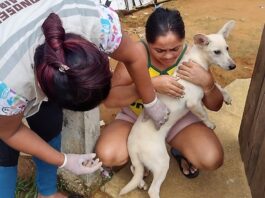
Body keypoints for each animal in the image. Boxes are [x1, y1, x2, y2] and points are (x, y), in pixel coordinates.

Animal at [119, 20, 235, 198]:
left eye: (227, 48)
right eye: (216, 52)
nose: (233, 66)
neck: (197, 60)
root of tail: (133, 146)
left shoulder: (203, 82)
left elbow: (215, 85)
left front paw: (227, 96)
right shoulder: (194, 103)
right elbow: (204, 113)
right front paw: (209, 124)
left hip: (140, 163)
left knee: (135, 169)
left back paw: (141, 182)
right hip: (161, 162)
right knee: (153, 189)